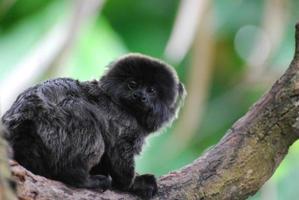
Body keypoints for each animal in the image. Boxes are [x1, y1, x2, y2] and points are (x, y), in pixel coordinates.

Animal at [1, 53, 185, 198]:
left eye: (151, 90)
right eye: (132, 84)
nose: (140, 96)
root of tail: (24, 119)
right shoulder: (123, 124)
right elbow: (118, 153)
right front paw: (134, 184)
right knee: (82, 114)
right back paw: (83, 179)